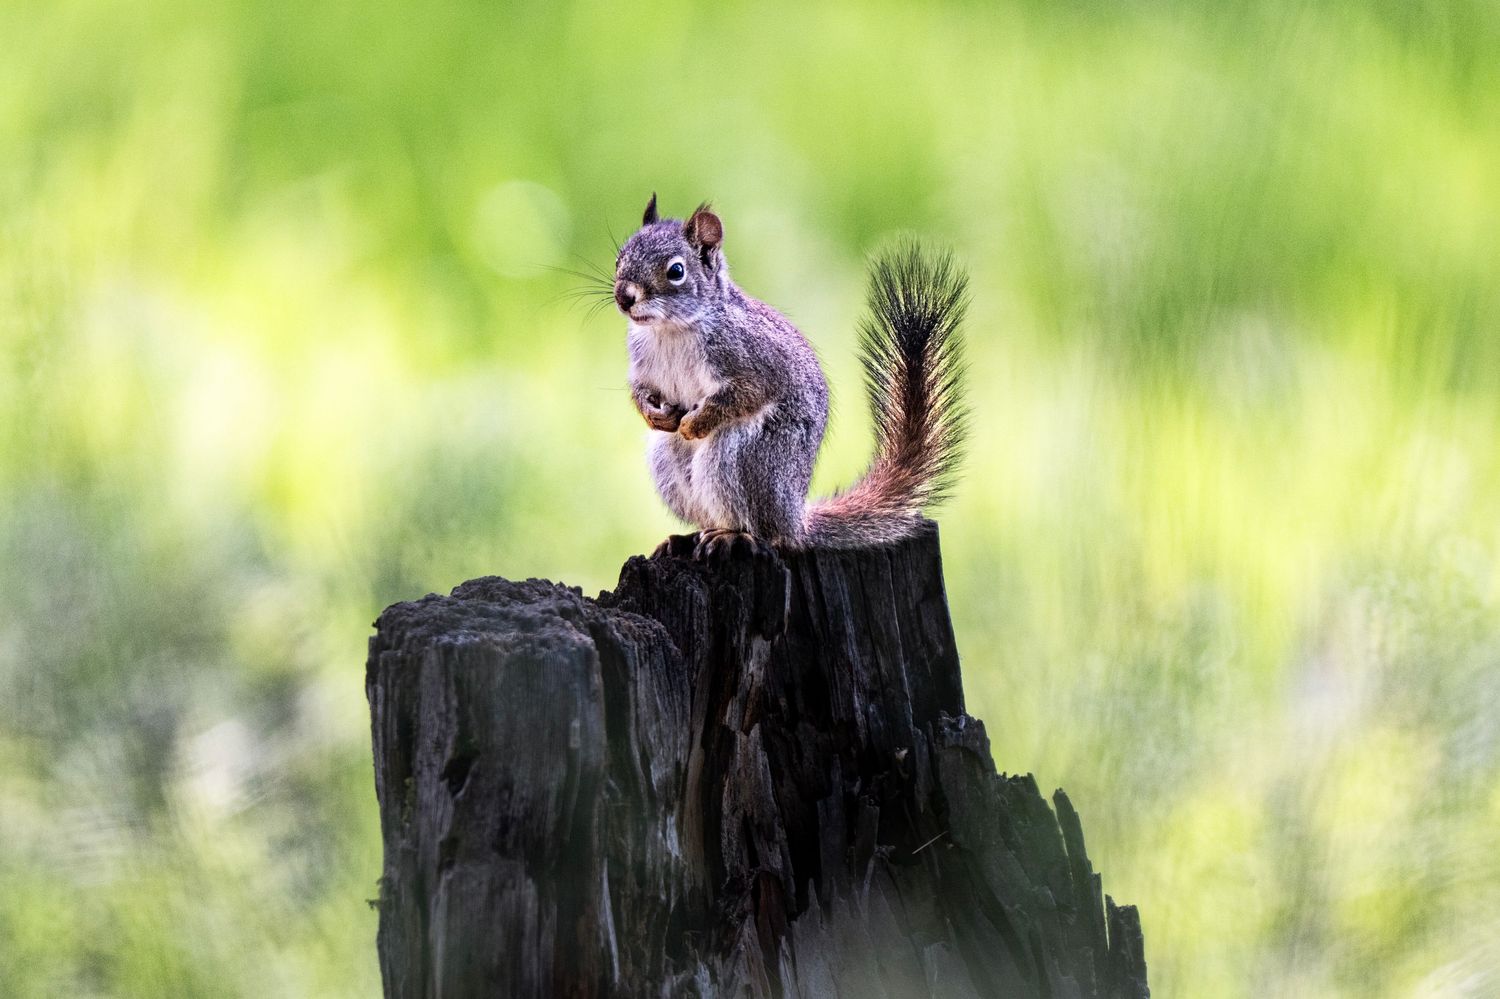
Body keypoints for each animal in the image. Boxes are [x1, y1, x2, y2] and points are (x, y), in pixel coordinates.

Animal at [616, 194, 968, 559]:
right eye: (620, 258)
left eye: (676, 271)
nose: (624, 297)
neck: (670, 329)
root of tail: (795, 520)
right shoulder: (643, 364)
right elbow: (640, 390)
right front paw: (653, 413)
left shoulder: (754, 360)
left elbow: (746, 394)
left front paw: (695, 424)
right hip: (668, 459)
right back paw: (685, 538)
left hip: (749, 458)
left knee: (766, 532)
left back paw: (734, 535)